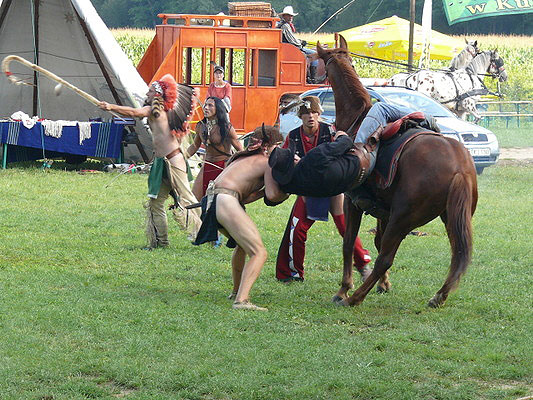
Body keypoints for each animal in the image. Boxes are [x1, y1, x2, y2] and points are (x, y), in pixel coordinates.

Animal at [316, 36, 478, 308]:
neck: (358, 117)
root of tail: (459, 167)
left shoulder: (353, 202)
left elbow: (349, 243)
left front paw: (344, 289)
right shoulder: (383, 210)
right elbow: (376, 241)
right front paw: (383, 285)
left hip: (404, 218)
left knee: (385, 258)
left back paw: (355, 298)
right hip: (450, 216)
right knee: (457, 253)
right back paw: (439, 295)